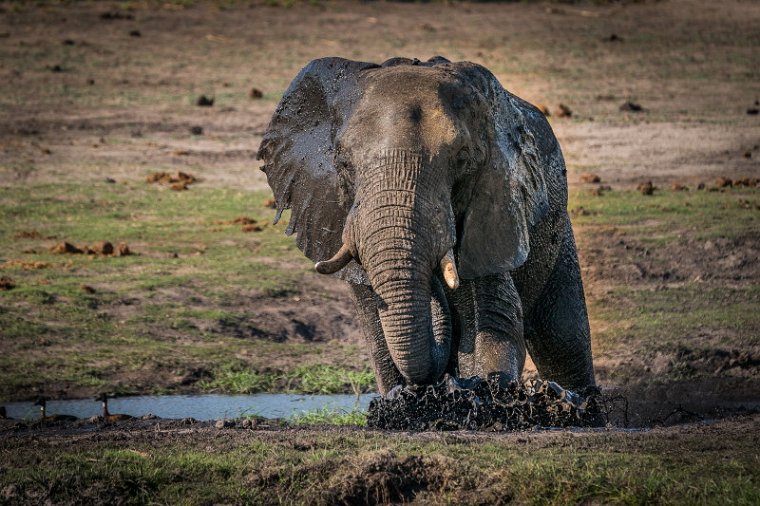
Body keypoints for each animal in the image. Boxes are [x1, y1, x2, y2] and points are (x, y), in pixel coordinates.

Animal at [258, 55, 596, 396]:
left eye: (463, 159)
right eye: (343, 164)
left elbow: (493, 321)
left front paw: (485, 388)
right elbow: (380, 342)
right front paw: (402, 397)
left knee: (564, 338)